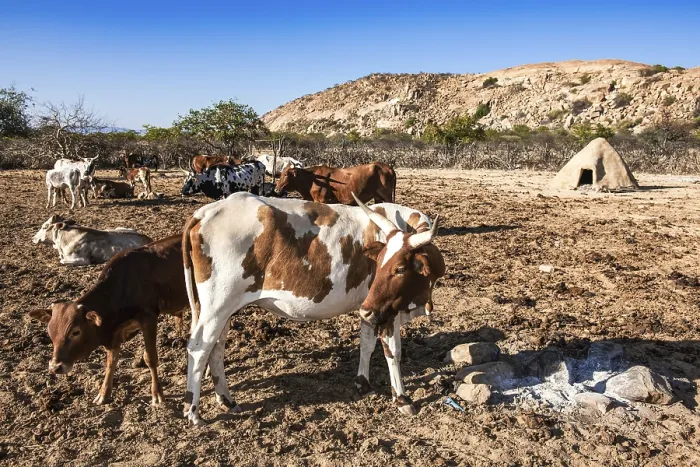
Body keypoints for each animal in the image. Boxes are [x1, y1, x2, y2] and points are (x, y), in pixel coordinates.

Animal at [28, 235, 188, 406]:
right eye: (50, 333)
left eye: (76, 332)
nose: (55, 367)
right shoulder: (114, 334)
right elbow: (111, 362)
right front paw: (103, 394)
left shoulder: (149, 318)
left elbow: (150, 358)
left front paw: (157, 394)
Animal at [181, 191, 445, 425]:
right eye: (380, 263)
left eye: (399, 268)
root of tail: (205, 212)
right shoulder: (387, 310)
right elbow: (393, 352)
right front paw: (402, 398)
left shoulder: (371, 307)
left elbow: (367, 344)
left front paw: (362, 384)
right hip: (217, 305)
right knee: (199, 348)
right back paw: (193, 413)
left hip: (224, 309)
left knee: (216, 348)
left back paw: (226, 399)